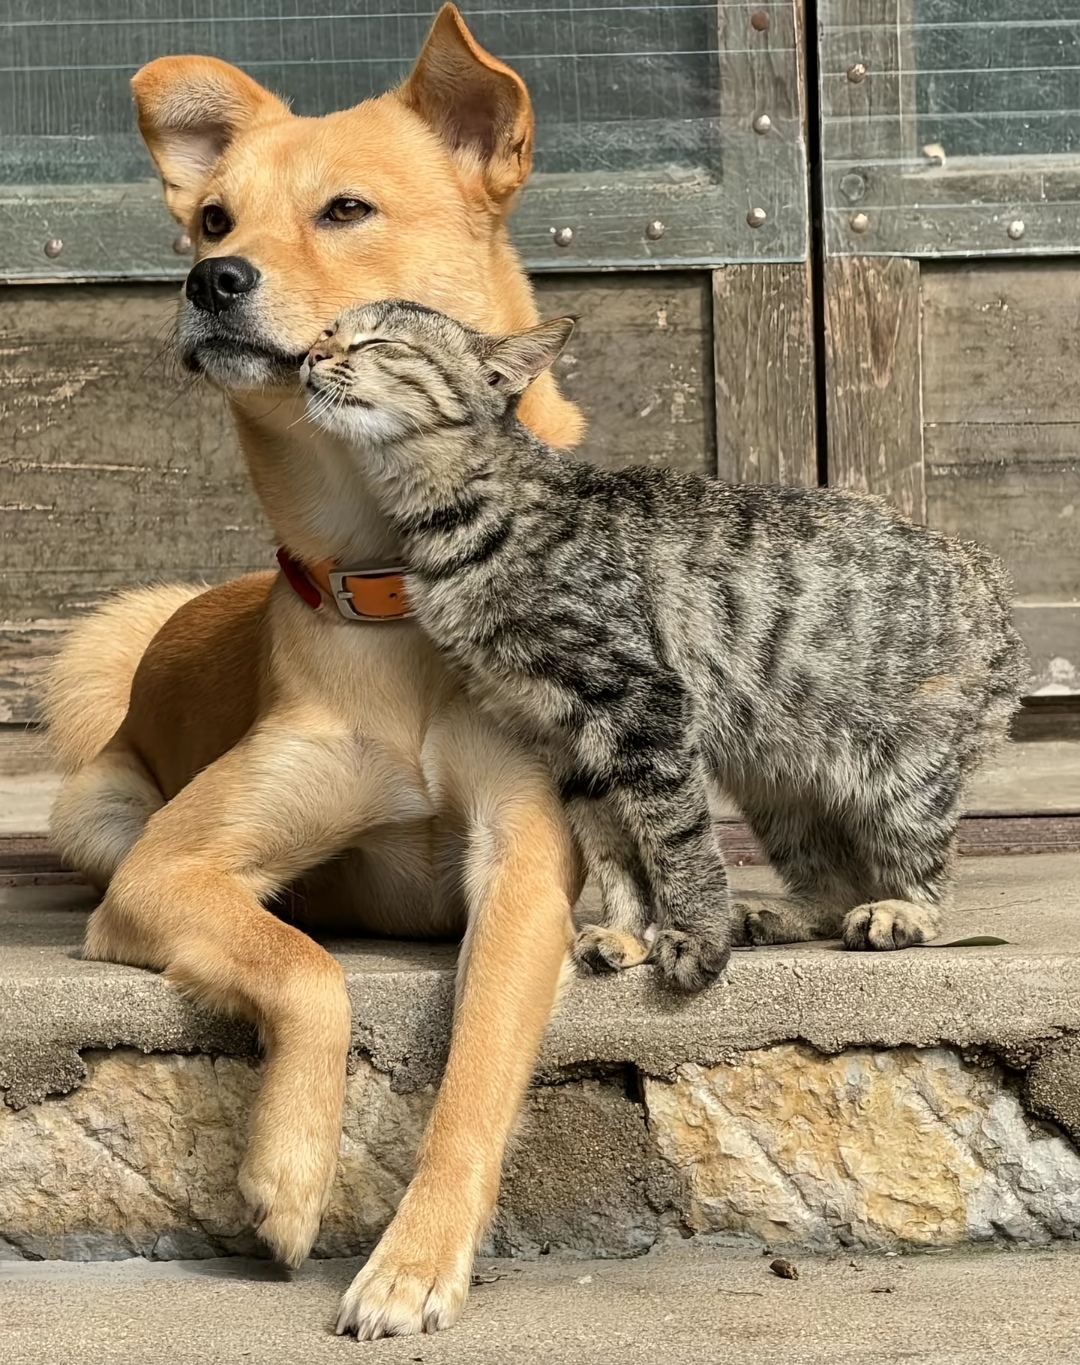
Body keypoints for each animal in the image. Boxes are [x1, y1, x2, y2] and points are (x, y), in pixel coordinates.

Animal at [45, 6, 587, 1339]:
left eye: (346, 209)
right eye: (212, 219)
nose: (210, 281)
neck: (395, 575)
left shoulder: (523, 870)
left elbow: (478, 1072)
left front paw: (416, 1259)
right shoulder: (167, 871)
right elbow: (309, 972)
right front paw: (289, 1172)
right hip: (98, 813)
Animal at [300, 299, 1026, 990]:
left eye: (378, 341)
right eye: (329, 330)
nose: (311, 352)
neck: (452, 524)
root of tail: (990, 576)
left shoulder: (643, 706)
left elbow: (676, 841)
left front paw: (695, 939)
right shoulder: (562, 739)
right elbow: (614, 854)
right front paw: (629, 932)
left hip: (901, 770)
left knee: (922, 868)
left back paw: (899, 912)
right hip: (777, 783)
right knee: (832, 885)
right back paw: (772, 914)